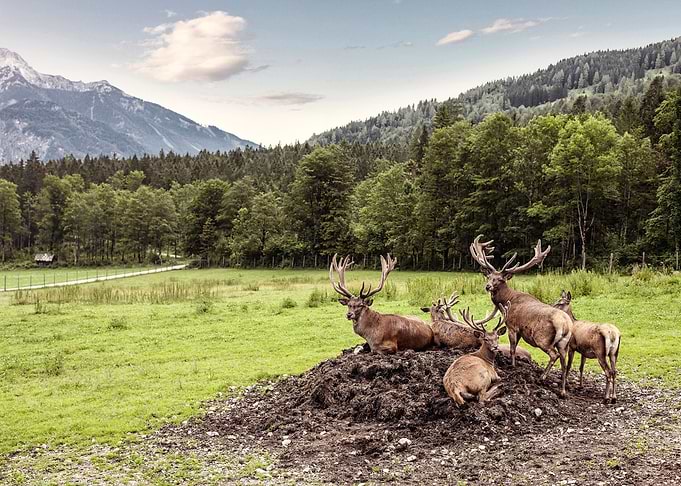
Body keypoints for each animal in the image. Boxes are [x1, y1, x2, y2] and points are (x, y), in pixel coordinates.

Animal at [470, 235, 573, 397]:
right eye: (489, 277)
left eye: (500, 279)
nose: (488, 286)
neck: (508, 299)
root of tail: (566, 324)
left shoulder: (512, 325)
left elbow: (512, 348)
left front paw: (512, 366)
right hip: (564, 343)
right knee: (564, 362)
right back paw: (562, 390)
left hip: (542, 338)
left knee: (553, 355)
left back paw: (542, 377)